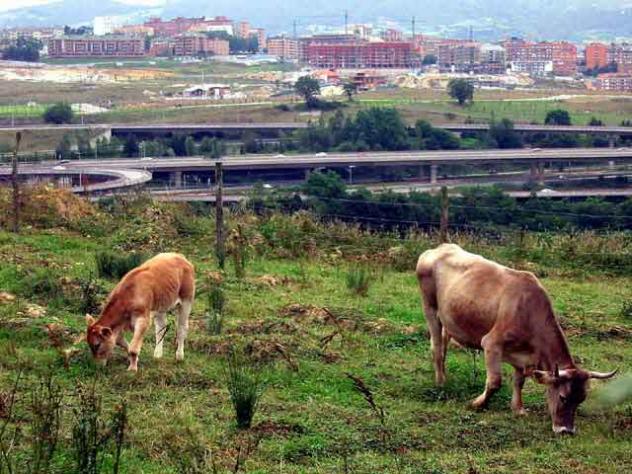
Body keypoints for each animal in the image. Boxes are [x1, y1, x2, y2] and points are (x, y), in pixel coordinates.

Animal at [416, 243, 617, 434]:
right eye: (563, 397)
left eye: (581, 399)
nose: (566, 430)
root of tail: (438, 248)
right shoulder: (491, 344)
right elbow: (495, 382)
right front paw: (477, 404)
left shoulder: (523, 356)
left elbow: (519, 382)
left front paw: (518, 409)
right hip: (430, 308)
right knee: (437, 348)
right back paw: (441, 382)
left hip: (449, 319)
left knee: (443, 345)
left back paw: (443, 375)